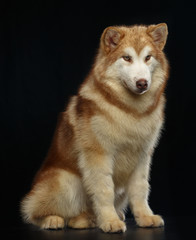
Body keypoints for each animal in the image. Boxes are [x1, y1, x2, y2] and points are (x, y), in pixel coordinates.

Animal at [20, 22, 169, 232]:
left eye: (148, 57)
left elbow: (140, 189)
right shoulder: (99, 156)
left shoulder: (142, 156)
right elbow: (104, 190)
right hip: (66, 182)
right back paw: (54, 219)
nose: (142, 83)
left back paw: (92, 218)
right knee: (34, 211)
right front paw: (110, 221)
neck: (131, 111)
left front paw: (145, 216)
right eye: (127, 58)